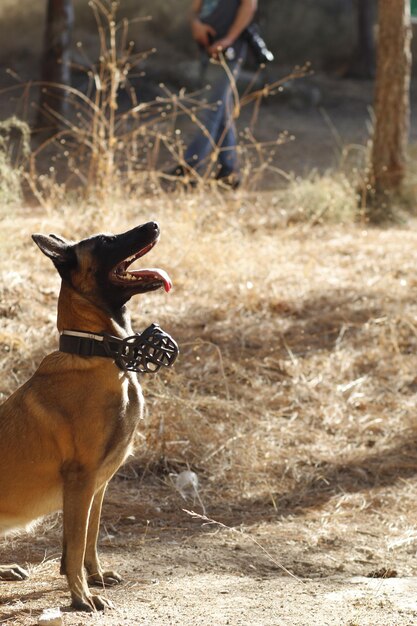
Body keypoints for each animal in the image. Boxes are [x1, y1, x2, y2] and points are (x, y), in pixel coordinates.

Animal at [0, 221, 174, 608]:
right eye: (107, 240)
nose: (154, 224)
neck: (100, 352)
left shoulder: (98, 484)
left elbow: (89, 539)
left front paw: (95, 577)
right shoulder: (81, 479)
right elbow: (76, 544)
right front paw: (81, 597)